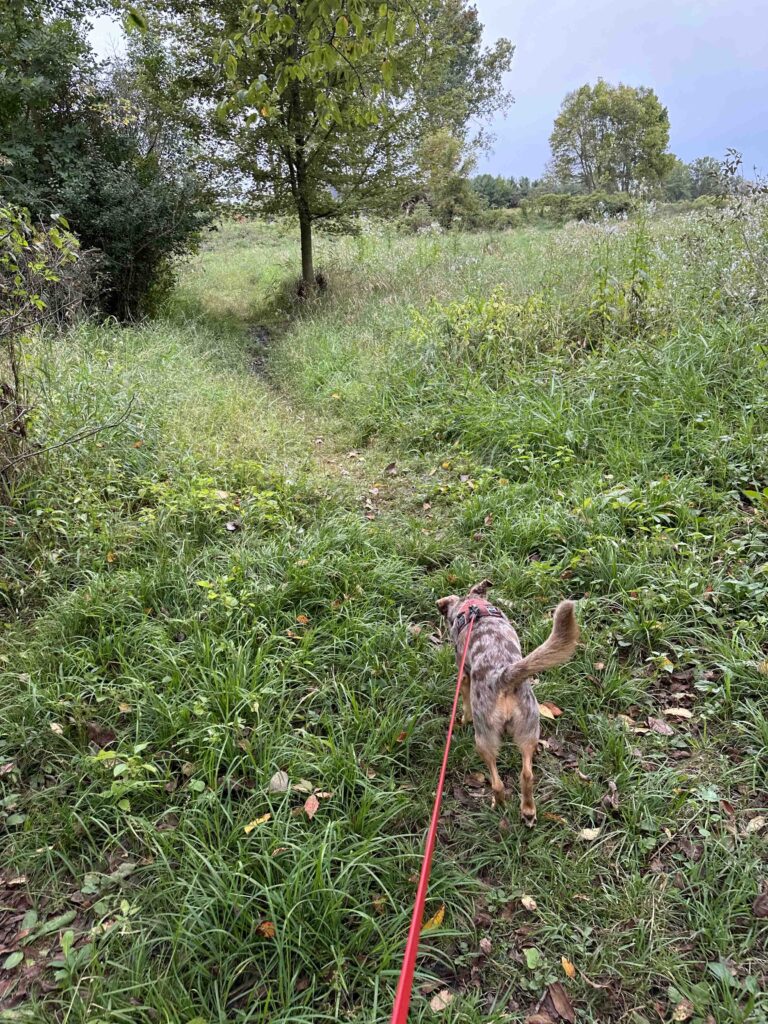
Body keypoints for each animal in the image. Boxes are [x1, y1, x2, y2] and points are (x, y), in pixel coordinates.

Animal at [436, 581, 581, 827]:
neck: (472, 606)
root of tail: (502, 677)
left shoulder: (463, 675)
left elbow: (464, 703)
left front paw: (463, 719)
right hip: (529, 729)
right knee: (527, 775)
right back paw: (528, 810)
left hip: (485, 738)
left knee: (497, 782)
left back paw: (500, 804)